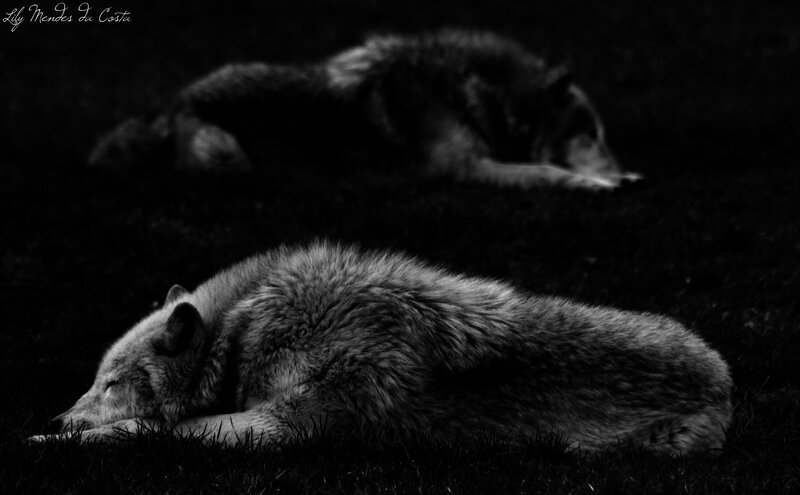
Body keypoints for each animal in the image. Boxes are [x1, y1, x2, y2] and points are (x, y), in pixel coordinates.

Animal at [32, 243, 731, 454]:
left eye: (111, 383)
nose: (59, 417)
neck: (244, 336)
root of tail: (726, 380)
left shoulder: (282, 428)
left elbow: (152, 428)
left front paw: (48, 441)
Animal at [89, 31, 641, 191]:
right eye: (590, 134)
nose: (630, 177)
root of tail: (166, 108)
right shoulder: (462, 167)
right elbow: (545, 171)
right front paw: (597, 183)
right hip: (225, 152)